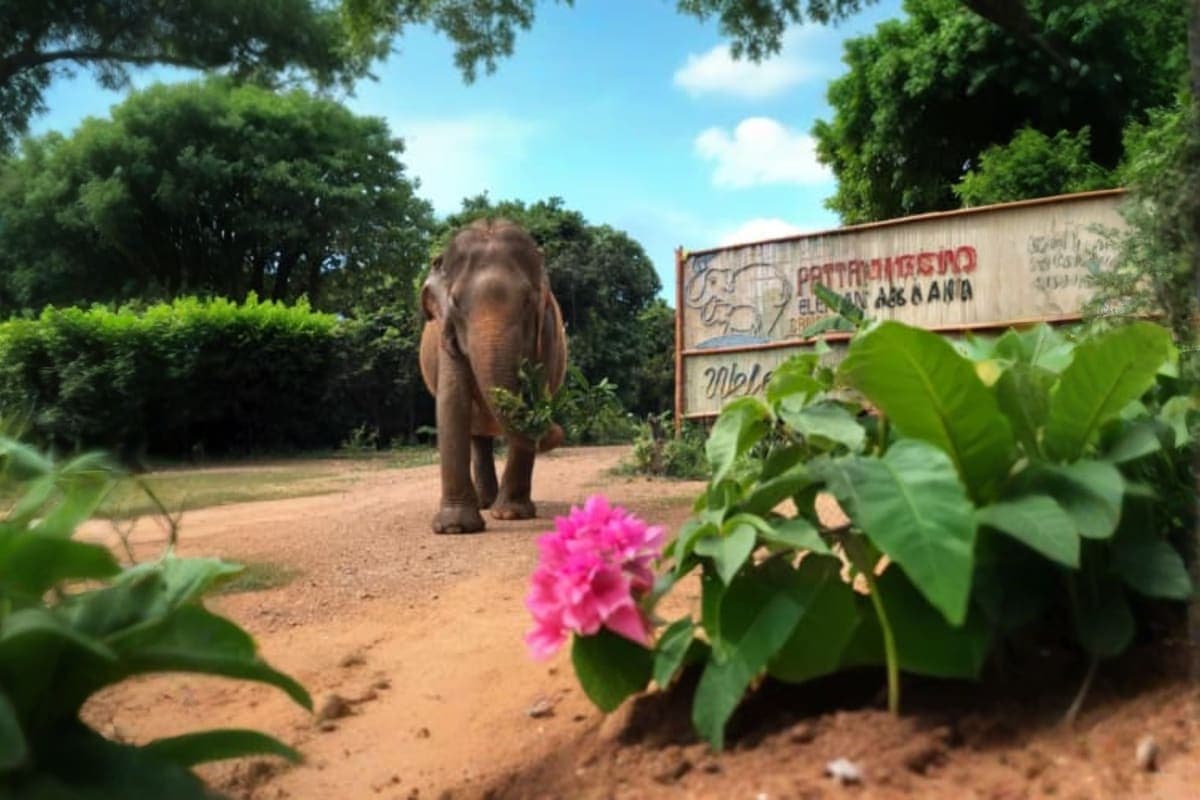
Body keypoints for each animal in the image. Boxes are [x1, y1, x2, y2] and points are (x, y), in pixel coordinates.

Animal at [418, 219, 568, 534]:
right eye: (455, 302)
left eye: (527, 302)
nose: (554, 427)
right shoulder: (446, 334)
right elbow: (452, 400)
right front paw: (455, 529)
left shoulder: (547, 330)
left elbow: (537, 388)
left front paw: (511, 515)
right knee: (477, 436)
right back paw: (484, 503)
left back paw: (494, 506)